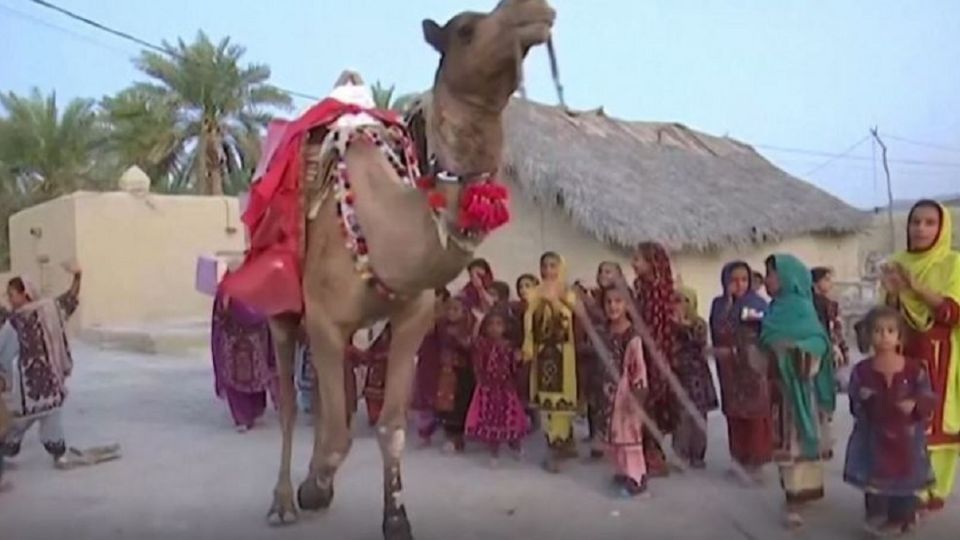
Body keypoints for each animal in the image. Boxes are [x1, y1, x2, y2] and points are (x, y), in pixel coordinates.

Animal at [262, 2, 556, 536]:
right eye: (465, 29)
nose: (534, 11)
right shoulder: (325, 318)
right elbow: (337, 433)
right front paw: (312, 490)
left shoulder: (411, 316)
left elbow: (389, 425)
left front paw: (394, 516)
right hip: (282, 308)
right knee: (293, 406)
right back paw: (284, 501)